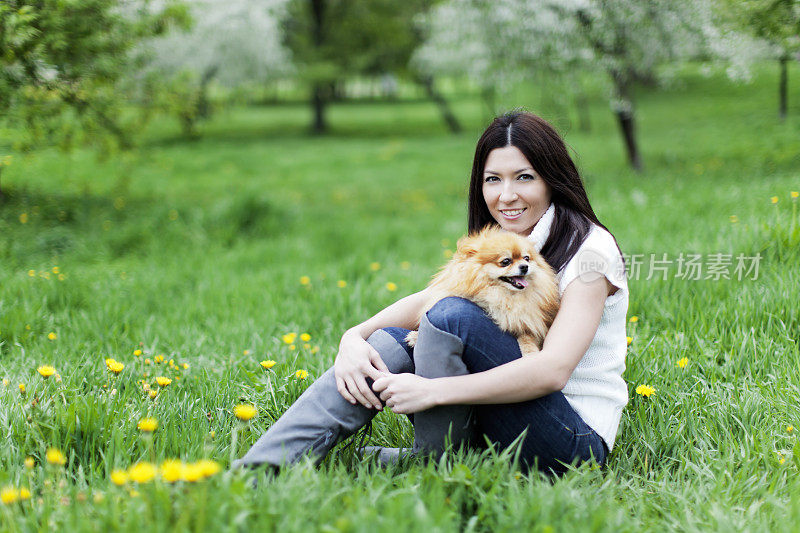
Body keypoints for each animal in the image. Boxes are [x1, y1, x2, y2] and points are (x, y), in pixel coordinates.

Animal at [410, 224, 560, 354]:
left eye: (526, 258)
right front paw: (416, 336)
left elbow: (528, 336)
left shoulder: (531, 322)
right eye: (506, 261)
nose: (524, 266)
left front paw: (530, 352)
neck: (497, 294)